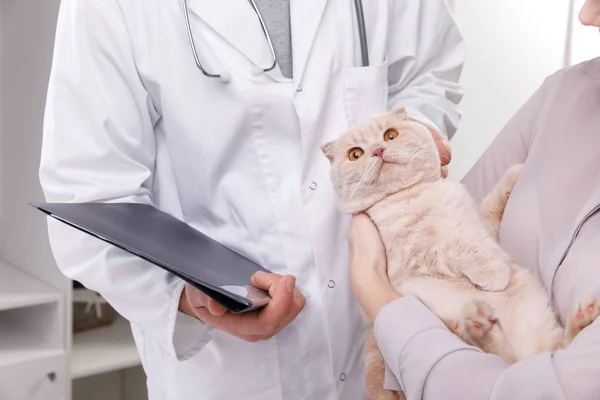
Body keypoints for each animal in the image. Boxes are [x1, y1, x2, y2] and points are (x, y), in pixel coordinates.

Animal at [322, 108, 600, 400]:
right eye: (355, 154)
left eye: (390, 135)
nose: (377, 149)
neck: (413, 194)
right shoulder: (418, 256)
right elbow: (460, 248)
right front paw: (494, 273)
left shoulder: (482, 227)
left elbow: (490, 207)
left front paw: (516, 173)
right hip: (450, 327)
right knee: (494, 360)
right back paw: (481, 324)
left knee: (536, 355)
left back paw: (583, 318)